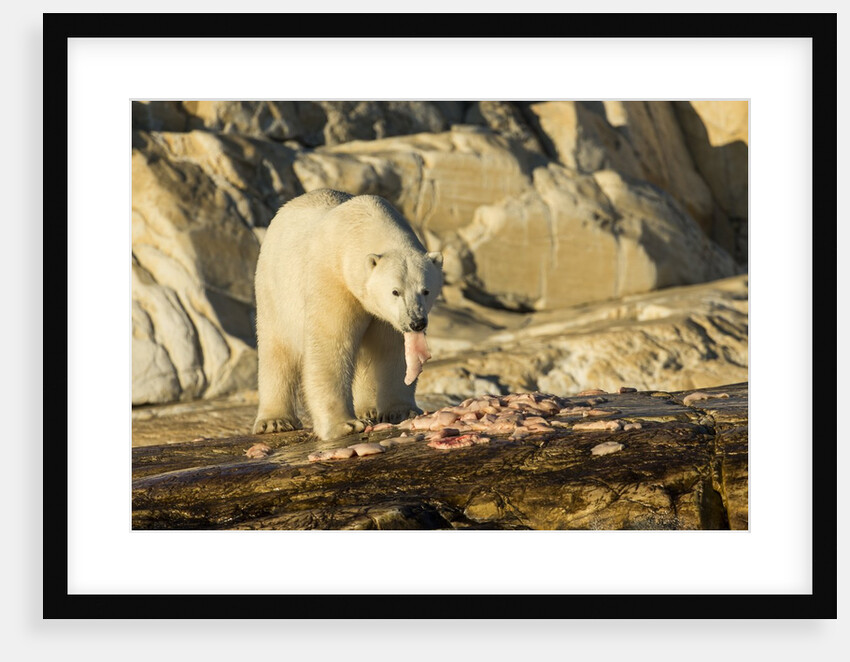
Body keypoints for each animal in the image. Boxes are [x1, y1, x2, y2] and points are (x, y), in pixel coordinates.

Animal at [252, 189, 443, 441]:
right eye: (395, 291)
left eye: (426, 290)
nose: (416, 323)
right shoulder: (333, 280)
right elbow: (331, 344)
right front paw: (345, 425)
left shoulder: (383, 315)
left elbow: (390, 350)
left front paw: (401, 411)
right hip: (274, 291)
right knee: (276, 351)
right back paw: (274, 421)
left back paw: (368, 408)